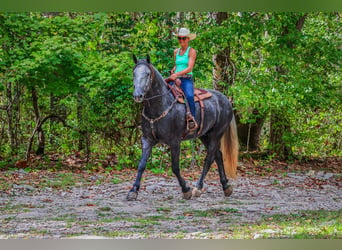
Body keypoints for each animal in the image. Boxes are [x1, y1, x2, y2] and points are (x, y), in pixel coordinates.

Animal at [126, 55, 238, 201]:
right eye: (133, 73)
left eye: (147, 74)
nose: (137, 95)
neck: (160, 105)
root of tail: (225, 100)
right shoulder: (147, 140)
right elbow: (141, 165)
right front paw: (133, 191)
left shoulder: (174, 142)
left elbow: (175, 167)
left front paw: (186, 190)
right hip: (204, 135)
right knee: (218, 155)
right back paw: (226, 186)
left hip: (216, 134)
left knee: (209, 159)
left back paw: (198, 188)